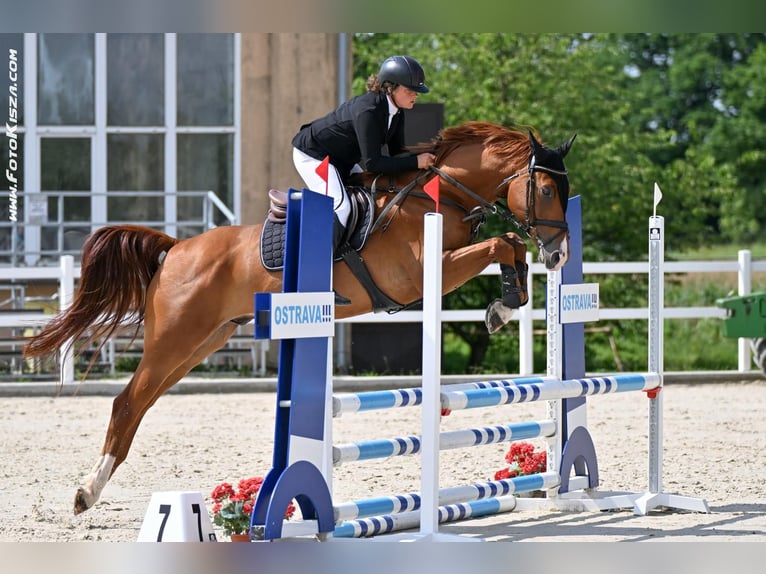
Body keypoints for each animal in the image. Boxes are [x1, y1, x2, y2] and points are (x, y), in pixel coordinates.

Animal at [23, 121, 576, 515]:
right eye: (547, 191)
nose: (560, 255)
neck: (439, 197)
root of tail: (176, 248)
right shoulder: (423, 275)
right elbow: (502, 242)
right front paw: (504, 304)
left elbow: (507, 244)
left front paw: (507, 301)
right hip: (174, 340)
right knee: (125, 403)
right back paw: (86, 492)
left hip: (202, 342)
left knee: (141, 404)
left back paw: (93, 488)